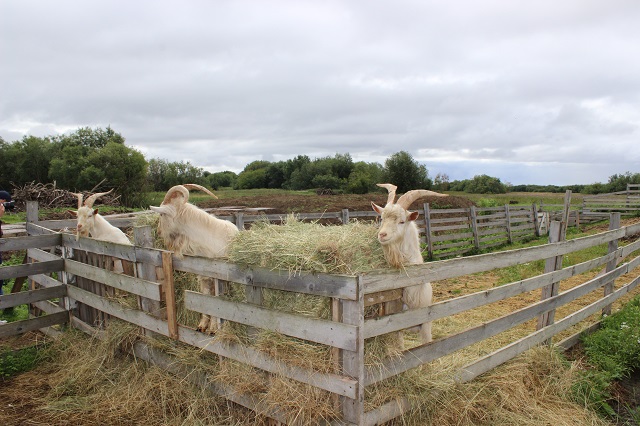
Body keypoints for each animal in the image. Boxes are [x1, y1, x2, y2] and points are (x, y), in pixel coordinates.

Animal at [150, 185, 240, 334]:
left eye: (162, 214)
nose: (158, 231)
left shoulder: (217, 277)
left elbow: (215, 302)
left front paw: (213, 329)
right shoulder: (204, 277)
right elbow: (205, 298)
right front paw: (202, 326)